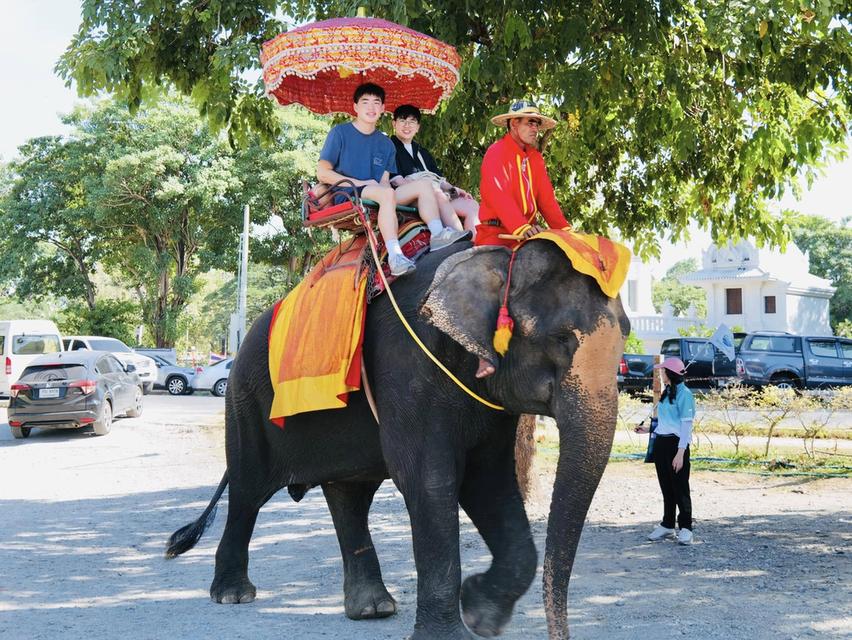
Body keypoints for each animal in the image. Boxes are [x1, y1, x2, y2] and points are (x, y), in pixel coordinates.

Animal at [168, 238, 632, 636]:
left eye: (625, 337)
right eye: (560, 340)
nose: (560, 634)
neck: (492, 253)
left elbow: (490, 482)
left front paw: (480, 615)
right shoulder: (407, 368)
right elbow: (430, 481)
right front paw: (457, 629)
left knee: (348, 496)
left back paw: (373, 608)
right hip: (244, 401)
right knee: (248, 490)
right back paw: (233, 595)